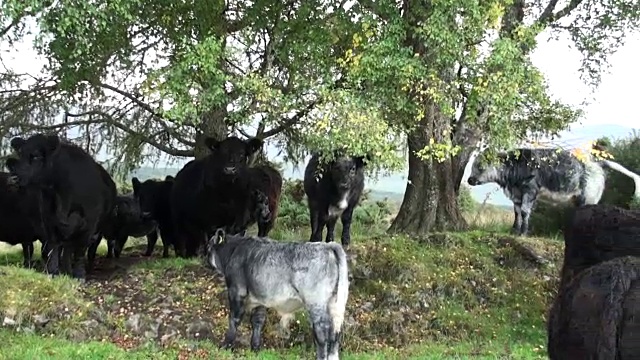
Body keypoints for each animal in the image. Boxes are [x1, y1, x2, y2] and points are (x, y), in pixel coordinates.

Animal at [5, 134, 116, 280]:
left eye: (36, 156)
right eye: (20, 154)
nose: (13, 178)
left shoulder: (89, 224)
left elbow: (80, 250)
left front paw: (79, 275)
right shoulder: (49, 220)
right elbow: (53, 247)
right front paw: (53, 272)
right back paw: (66, 270)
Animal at [205, 229, 350, 358]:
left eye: (209, 246)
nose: (204, 258)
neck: (235, 250)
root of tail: (328, 246)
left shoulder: (236, 291)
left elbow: (234, 319)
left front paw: (225, 345)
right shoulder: (260, 298)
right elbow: (258, 320)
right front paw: (255, 348)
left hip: (316, 304)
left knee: (322, 335)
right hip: (334, 304)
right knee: (335, 334)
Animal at [464, 146, 640, 236]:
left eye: (480, 166)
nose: (469, 180)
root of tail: (597, 163)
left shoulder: (530, 191)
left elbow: (525, 212)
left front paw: (523, 233)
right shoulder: (517, 195)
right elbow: (517, 212)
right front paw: (514, 230)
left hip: (589, 198)